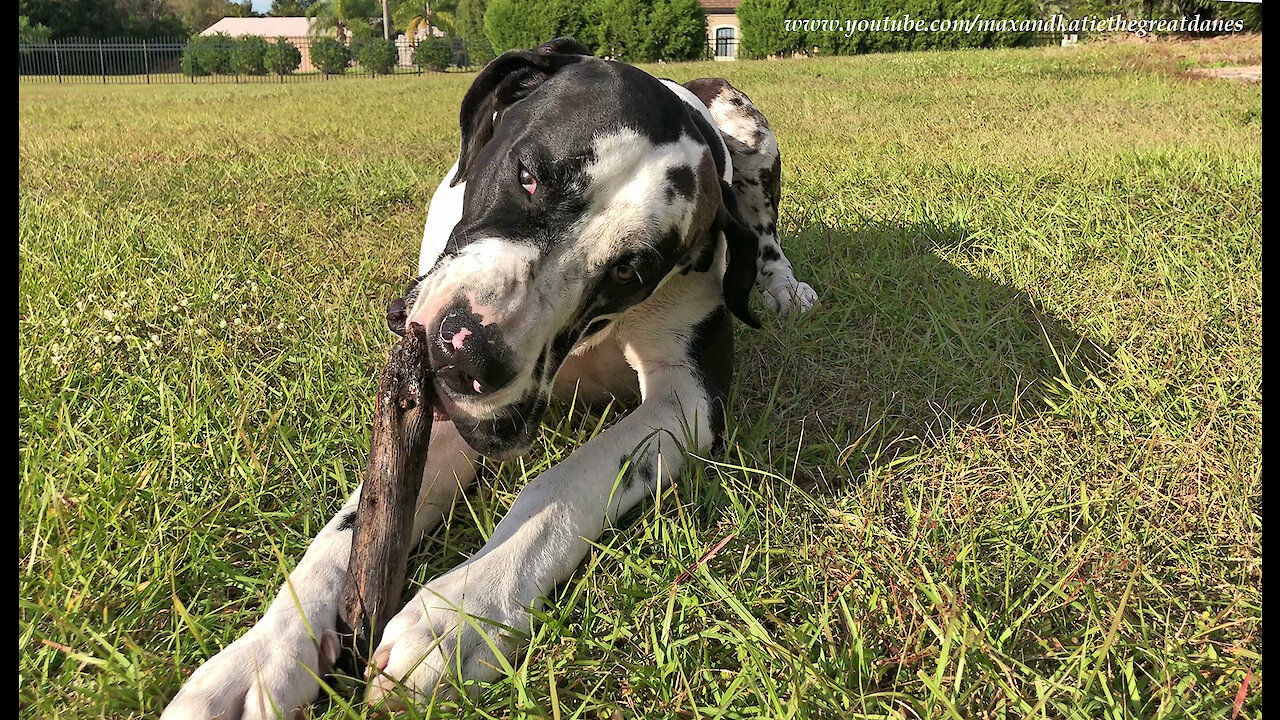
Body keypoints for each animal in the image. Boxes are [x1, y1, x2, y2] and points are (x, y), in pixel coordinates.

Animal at [165, 39, 814, 717]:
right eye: (528, 173)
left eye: (630, 270)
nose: (468, 352)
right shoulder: (435, 415)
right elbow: (348, 532)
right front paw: (257, 658)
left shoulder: (688, 396)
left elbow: (567, 481)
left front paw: (458, 617)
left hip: (751, 131)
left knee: (763, 235)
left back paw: (783, 286)